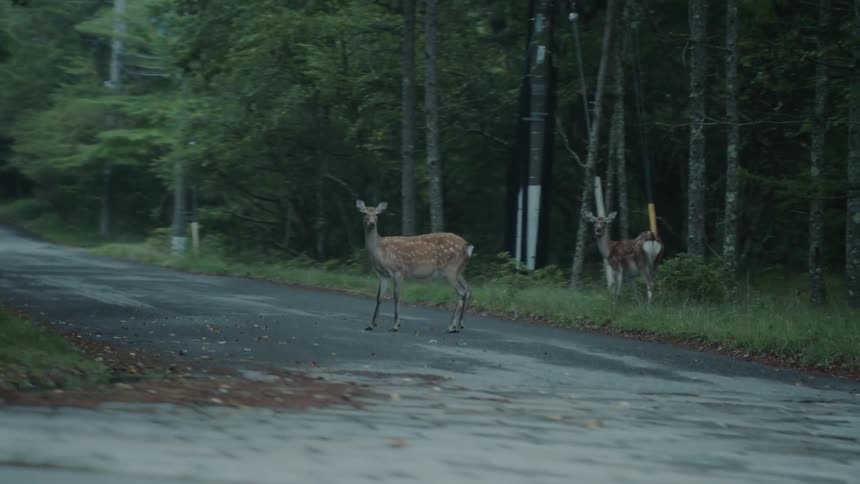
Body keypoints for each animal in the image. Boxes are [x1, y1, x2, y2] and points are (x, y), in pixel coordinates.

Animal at [356, 200, 474, 333]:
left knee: (461, 291)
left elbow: (396, 296)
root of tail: (468, 246)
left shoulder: (398, 270)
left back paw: (452, 327)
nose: (371, 223)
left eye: (377, 214)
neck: (380, 251)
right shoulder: (382, 275)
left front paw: (395, 325)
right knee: (468, 289)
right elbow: (379, 297)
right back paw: (459, 325)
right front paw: (371, 324)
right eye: (364, 213)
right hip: (459, 271)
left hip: (450, 270)